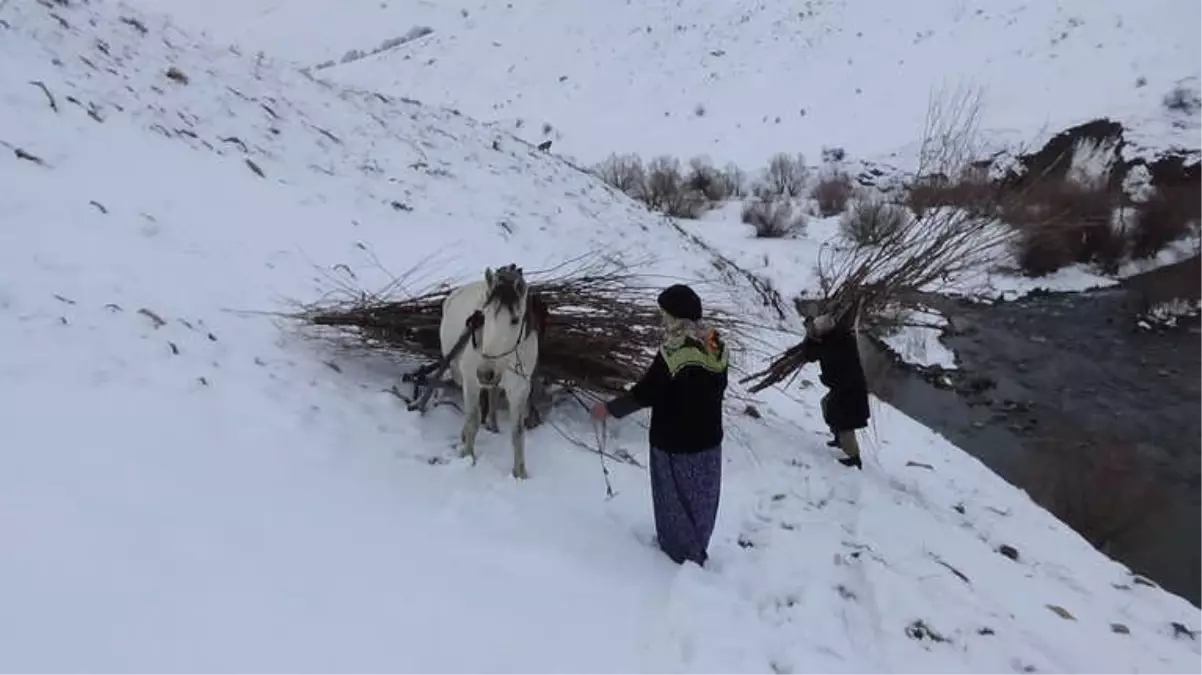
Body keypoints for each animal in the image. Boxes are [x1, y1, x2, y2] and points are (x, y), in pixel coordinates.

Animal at [437, 263, 540, 478]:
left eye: (515, 320)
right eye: (485, 316)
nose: (485, 372)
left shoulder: (520, 388)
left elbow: (518, 432)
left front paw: (520, 474)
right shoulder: (471, 381)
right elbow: (472, 420)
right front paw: (468, 457)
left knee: (493, 394)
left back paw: (493, 424)